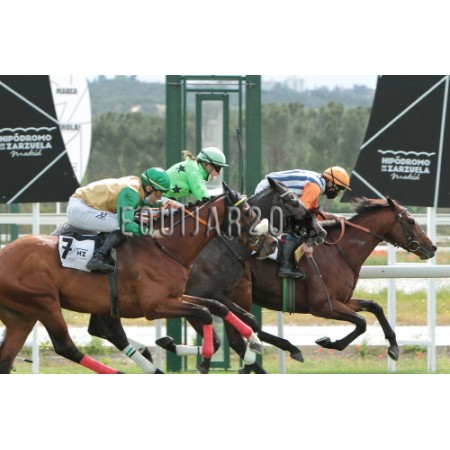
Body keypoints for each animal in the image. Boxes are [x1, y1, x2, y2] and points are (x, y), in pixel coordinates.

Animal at [0, 183, 278, 374]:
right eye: (247, 212)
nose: (273, 242)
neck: (167, 245)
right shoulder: (154, 306)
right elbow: (206, 313)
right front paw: (204, 358)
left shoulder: (177, 296)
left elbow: (215, 307)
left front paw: (253, 343)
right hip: (44, 303)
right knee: (67, 347)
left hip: (22, 315)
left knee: (6, 360)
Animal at [85, 178, 328, 373]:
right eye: (294, 201)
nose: (321, 231)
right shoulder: (198, 295)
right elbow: (225, 336)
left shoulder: (219, 293)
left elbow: (247, 321)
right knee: (110, 332)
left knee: (101, 330)